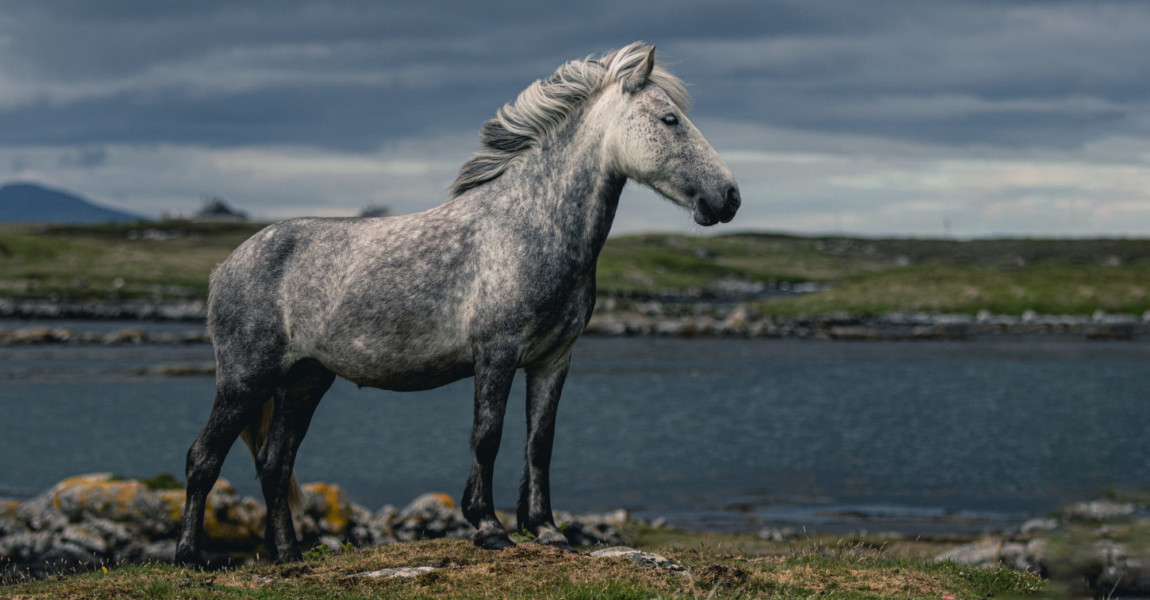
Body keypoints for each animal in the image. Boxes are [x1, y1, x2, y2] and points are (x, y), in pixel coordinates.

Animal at [174, 40, 740, 560]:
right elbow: (487, 435)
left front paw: (548, 530)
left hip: (304, 380)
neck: (529, 226)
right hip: (245, 379)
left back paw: (290, 555)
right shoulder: (496, 352)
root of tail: (226, 267)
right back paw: (190, 557)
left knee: (275, 463)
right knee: (203, 458)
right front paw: (489, 527)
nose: (730, 197)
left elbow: (541, 441)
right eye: (670, 119)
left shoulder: (554, 359)